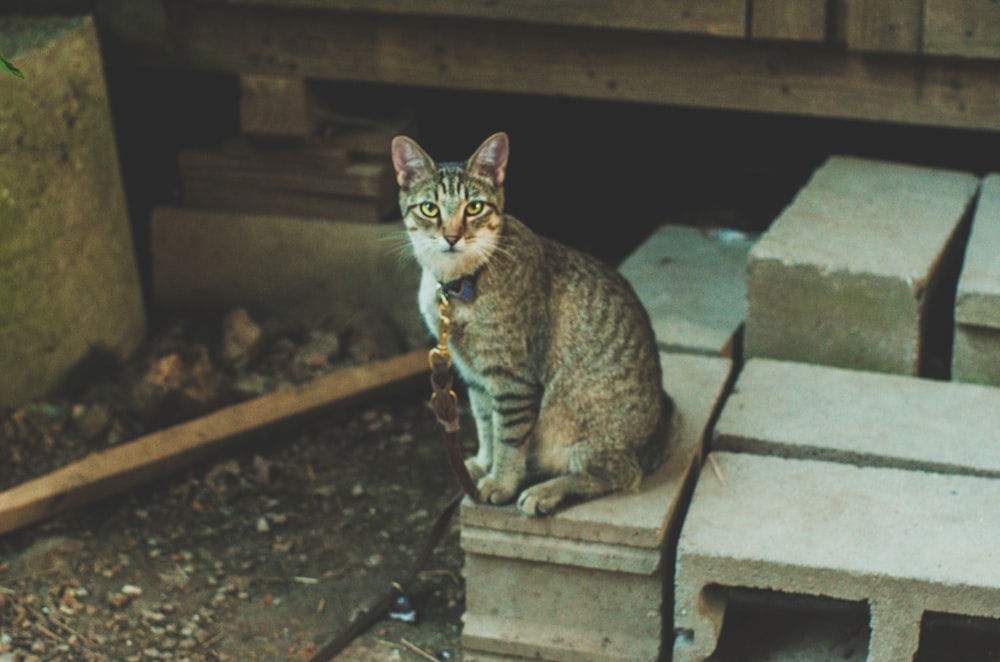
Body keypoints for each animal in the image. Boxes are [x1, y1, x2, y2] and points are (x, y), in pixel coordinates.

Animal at [390, 132, 680, 516]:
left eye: (474, 208)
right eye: (429, 209)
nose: (451, 237)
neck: (458, 283)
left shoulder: (513, 379)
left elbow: (509, 439)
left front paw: (500, 482)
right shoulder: (475, 377)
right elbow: (485, 425)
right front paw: (483, 463)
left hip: (585, 432)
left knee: (621, 474)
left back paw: (547, 491)